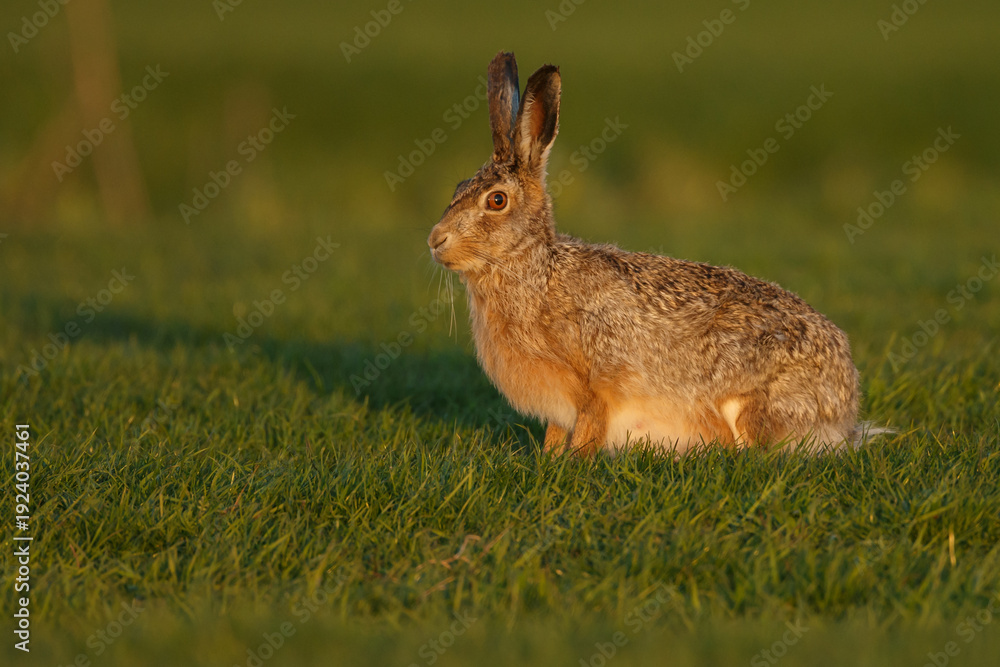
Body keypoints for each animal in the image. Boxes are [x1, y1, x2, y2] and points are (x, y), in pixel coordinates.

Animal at [428, 51, 870, 456]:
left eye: (496, 200)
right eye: (457, 188)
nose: (435, 240)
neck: (531, 268)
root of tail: (844, 407)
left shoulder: (596, 385)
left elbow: (588, 429)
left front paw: (573, 464)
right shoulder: (560, 408)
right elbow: (556, 435)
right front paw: (549, 461)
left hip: (748, 405)